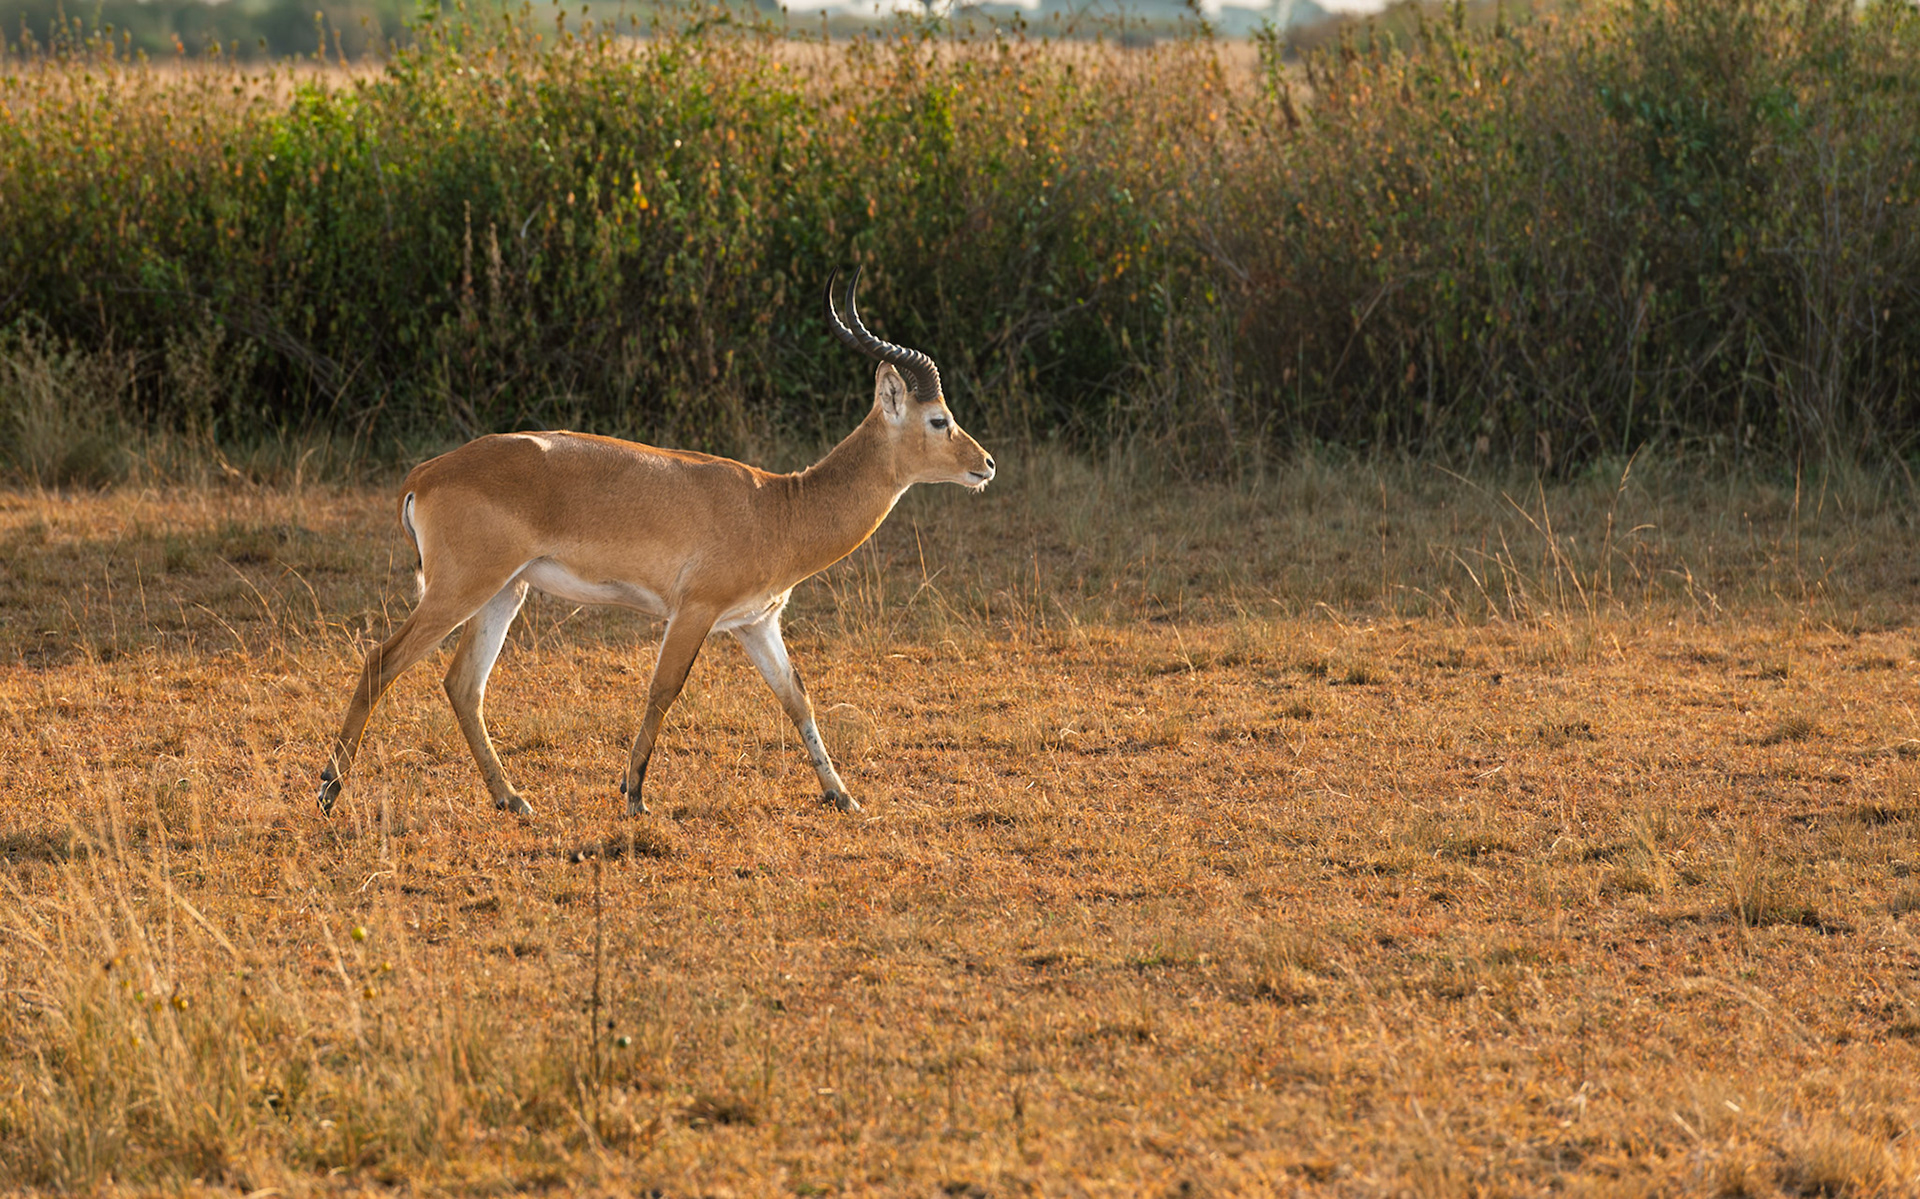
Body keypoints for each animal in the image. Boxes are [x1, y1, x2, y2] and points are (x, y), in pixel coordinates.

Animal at [317, 268, 995, 817]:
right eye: (939, 419)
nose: (985, 464)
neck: (777, 507)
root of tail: (426, 473)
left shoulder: (757, 623)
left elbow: (798, 699)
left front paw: (843, 795)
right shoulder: (693, 611)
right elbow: (663, 690)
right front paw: (635, 795)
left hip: (505, 593)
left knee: (463, 684)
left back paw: (513, 800)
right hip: (460, 589)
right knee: (380, 661)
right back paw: (327, 792)